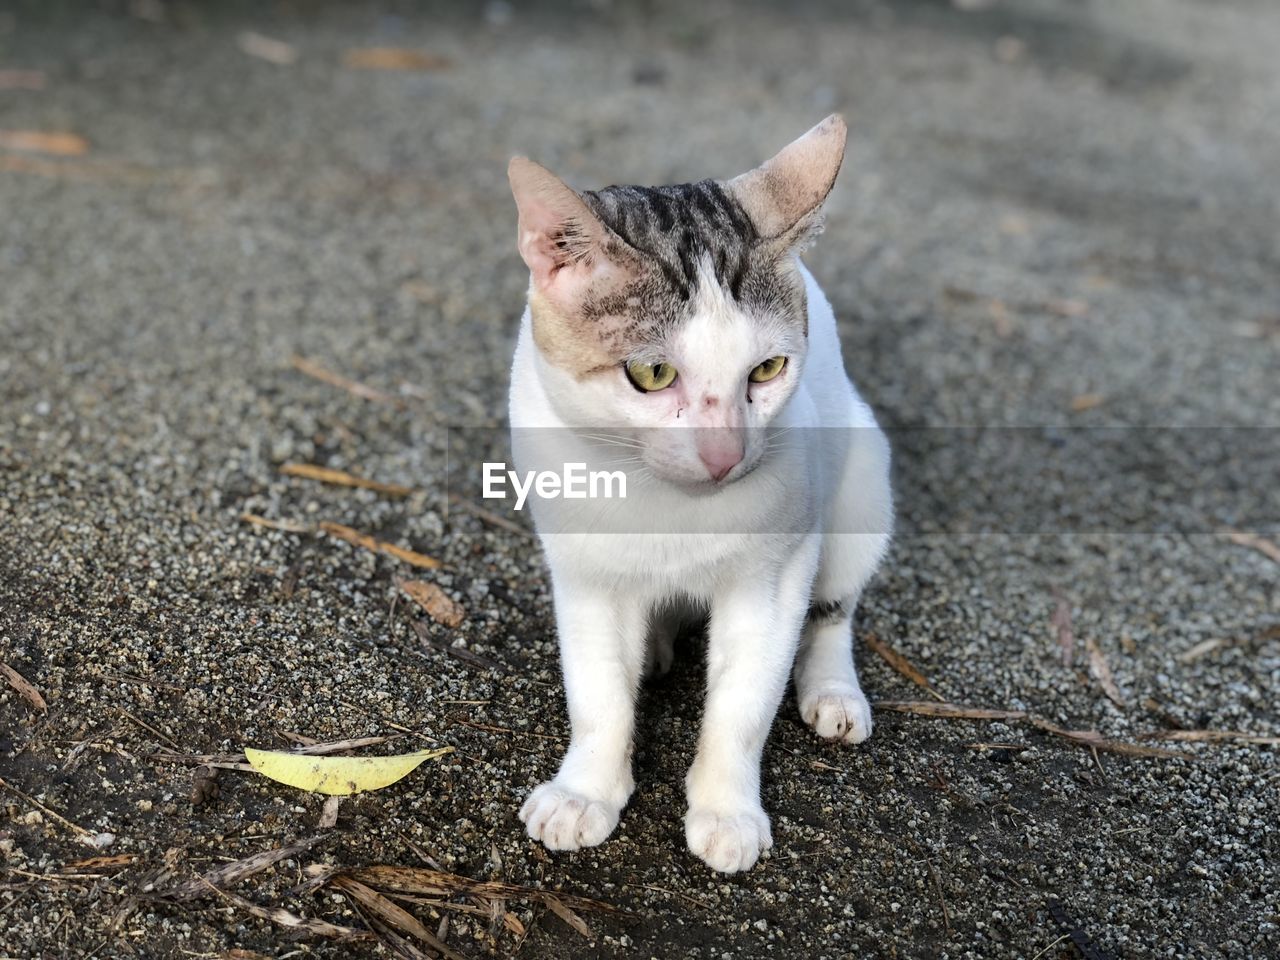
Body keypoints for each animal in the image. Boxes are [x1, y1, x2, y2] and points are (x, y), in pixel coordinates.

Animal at [499, 116, 890, 875]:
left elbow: (744, 700)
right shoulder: (582, 572)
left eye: (767, 369)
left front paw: (726, 810)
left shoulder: (775, 577)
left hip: (864, 480)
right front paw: (585, 791)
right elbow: (597, 689)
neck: (665, 507)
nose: (725, 455)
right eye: (652, 373)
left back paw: (832, 689)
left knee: (833, 611)